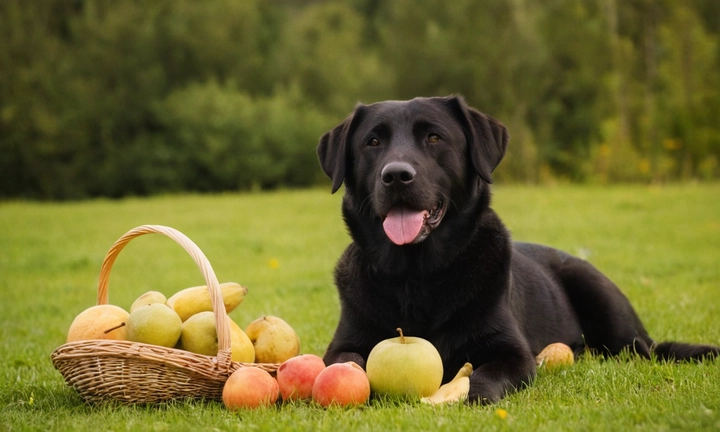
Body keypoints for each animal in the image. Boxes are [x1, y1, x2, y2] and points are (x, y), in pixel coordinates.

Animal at [316, 96, 720, 404]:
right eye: (373, 143)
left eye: (433, 138)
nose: (396, 175)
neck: (416, 275)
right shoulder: (344, 343)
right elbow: (346, 361)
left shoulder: (511, 353)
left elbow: (483, 375)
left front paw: (469, 395)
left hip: (600, 296)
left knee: (644, 351)